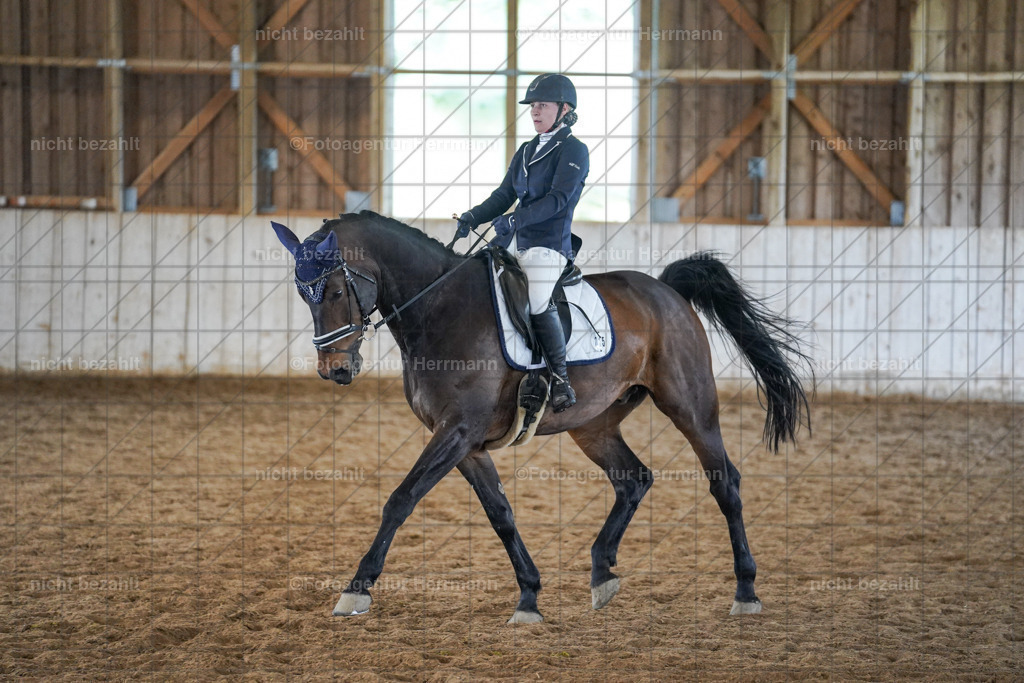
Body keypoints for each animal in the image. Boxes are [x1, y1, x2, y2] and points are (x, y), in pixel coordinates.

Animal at [271, 210, 811, 624]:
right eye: (302, 294)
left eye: (335, 290)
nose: (335, 370)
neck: (439, 309)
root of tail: (665, 292)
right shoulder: (466, 443)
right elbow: (501, 514)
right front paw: (529, 596)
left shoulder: (456, 431)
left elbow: (400, 500)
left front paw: (356, 588)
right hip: (593, 425)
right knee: (633, 478)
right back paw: (602, 574)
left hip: (690, 406)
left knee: (725, 483)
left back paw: (745, 591)